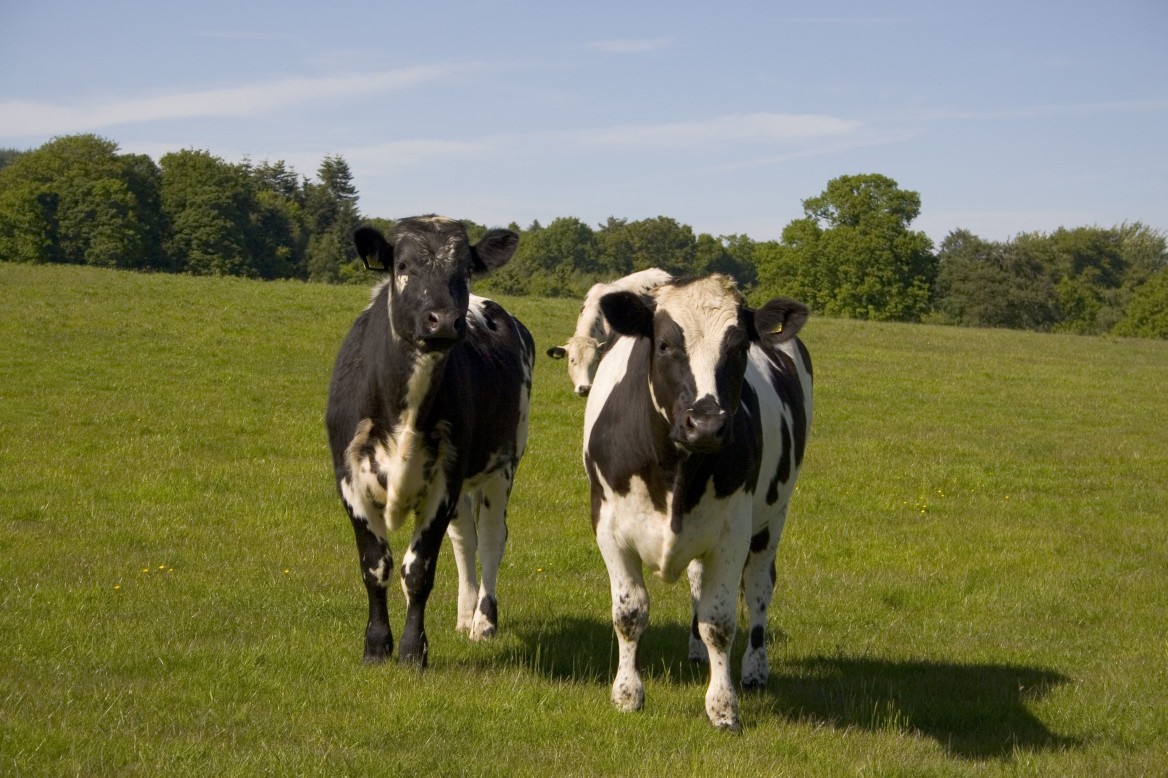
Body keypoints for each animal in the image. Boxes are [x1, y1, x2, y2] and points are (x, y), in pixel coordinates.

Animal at [326, 216, 534, 668]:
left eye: (466, 269)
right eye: (403, 265)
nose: (444, 320)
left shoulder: (444, 481)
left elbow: (418, 571)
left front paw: (411, 651)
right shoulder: (350, 480)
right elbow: (376, 567)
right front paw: (376, 646)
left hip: (502, 464)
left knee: (491, 538)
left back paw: (482, 622)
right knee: (465, 539)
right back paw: (464, 614)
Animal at [582, 274, 813, 731]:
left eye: (740, 348)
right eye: (664, 345)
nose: (706, 423)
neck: (676, 470)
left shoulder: (732, 533)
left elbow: (719, 621)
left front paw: (723, 706)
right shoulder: (609, 527)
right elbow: (630, 613)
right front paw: (627, 694)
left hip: (773, 518)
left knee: (758, 589)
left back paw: (755, 669)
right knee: (695, 582)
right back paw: (693, 652)